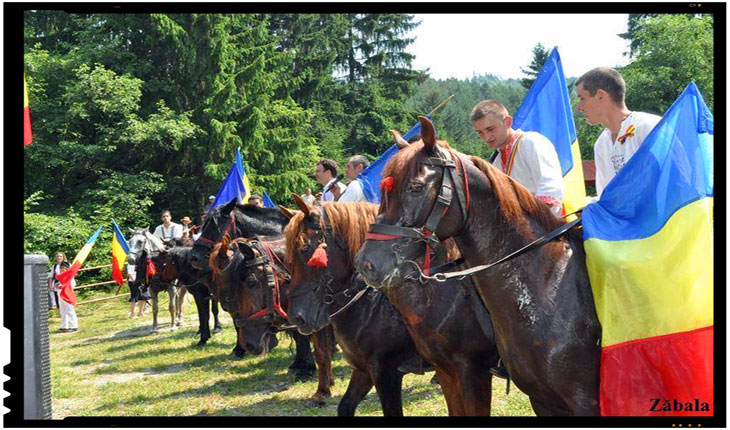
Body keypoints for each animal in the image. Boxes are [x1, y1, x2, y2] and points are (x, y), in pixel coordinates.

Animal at [282, 199, 436, 416]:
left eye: (305, 248)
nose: (296, 317)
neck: (373, 303)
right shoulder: (364, 370)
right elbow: (346, 405)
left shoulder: (386, 372)